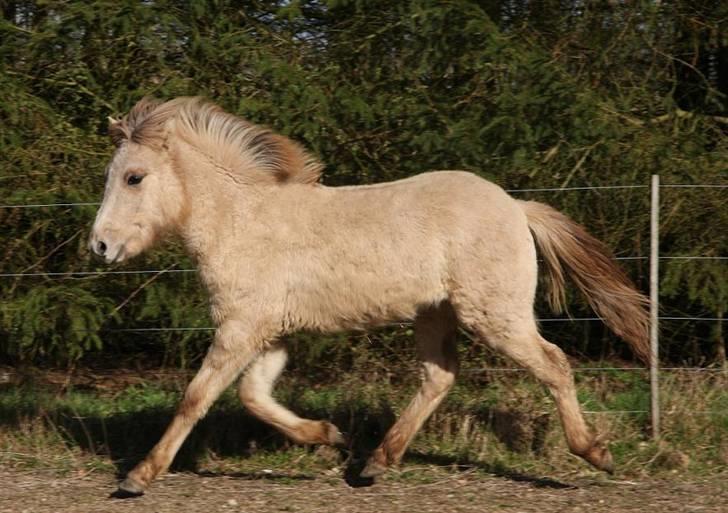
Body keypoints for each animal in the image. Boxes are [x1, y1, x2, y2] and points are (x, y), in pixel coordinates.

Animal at [88, 97, 652, 496]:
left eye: (134, 177)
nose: (99, 245)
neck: (244, 221)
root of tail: (517, 207)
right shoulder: (268, 333)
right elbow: (254, 396)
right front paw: (328, 435)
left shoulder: (240, 328)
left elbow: (196, 396)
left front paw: (138, 476)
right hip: (435, 315)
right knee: (440, 376)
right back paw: (376, 461)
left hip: (495, 315)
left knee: (553, 364)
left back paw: (594, 453)